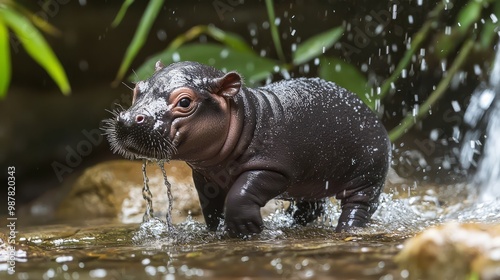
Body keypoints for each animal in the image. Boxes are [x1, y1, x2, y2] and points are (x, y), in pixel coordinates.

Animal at [105, 60, 392, 236]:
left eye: (185, 102)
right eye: (138, 89)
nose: (128, 119)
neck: (245, 116)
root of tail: (370, 111)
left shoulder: (273, 169)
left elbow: (240, 194)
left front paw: (247, 229)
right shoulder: (205, 176)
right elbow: (210, 206)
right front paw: (217, 231)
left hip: (368, 177)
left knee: (359, 206)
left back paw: (347, 230)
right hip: (311, 181)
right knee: (311, 208)